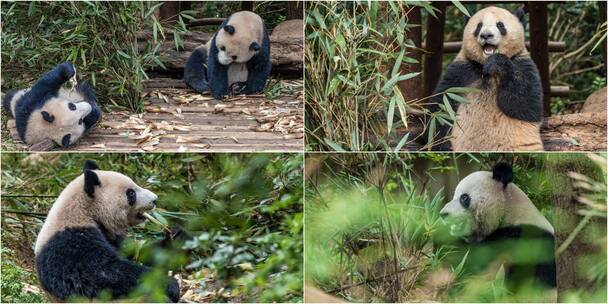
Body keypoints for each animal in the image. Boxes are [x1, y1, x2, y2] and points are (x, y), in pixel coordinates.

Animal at [33, 159, 178, 302]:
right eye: (131, 193)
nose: (155, 199)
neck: (85, 210)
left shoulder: (111, 235)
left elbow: (136, 252)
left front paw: (176, 237)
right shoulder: (69, 243)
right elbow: (101, 274)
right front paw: (170, 284)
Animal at [426, 7, 544, 152]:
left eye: (500, 25)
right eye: (479, 26)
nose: (486, 35)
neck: (485, 67)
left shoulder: (522, 63)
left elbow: (527, 106)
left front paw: (497, 62)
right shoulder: (463, 69)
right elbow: (441, 107)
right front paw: (442, 145)